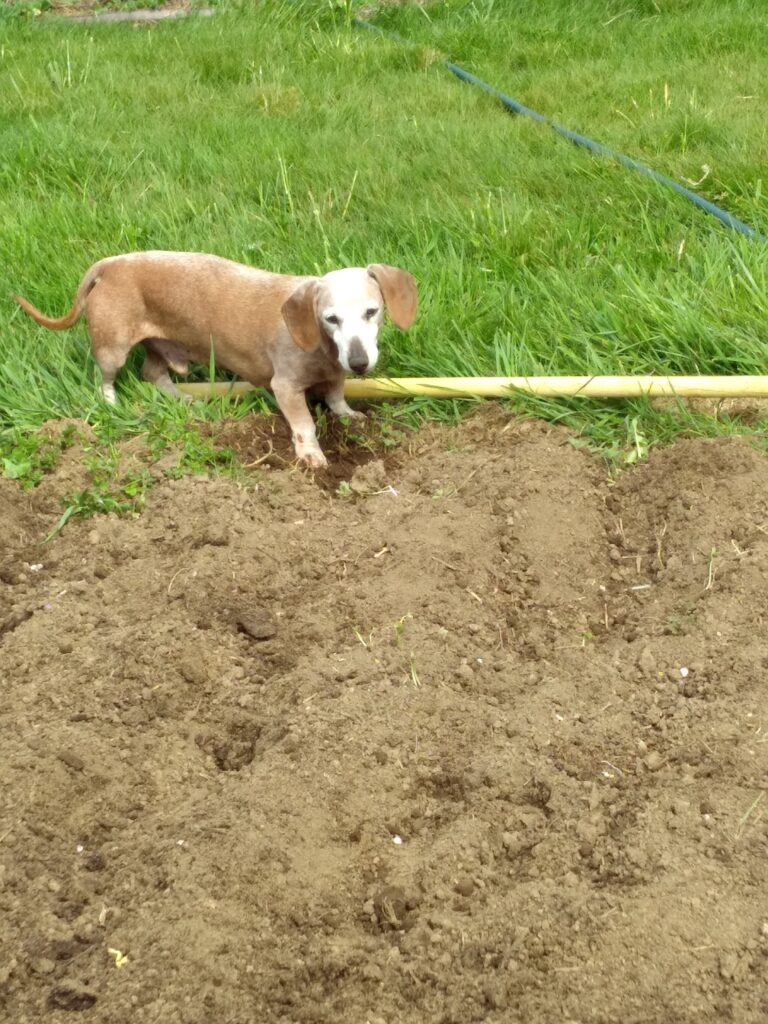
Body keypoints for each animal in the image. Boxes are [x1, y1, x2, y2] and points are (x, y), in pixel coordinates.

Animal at [12, 251, 417, 468]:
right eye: (331, 319)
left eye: (372, 312)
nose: (360, 363)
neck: (322, 347)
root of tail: (110, 265)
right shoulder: (285, 387)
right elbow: (304, 424)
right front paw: (311, 455)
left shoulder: (335, 373)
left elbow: (335, 394)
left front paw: (348, 415)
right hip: (113, 348)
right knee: (108, 381)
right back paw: (113, 405)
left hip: (158, 345)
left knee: (152, 373)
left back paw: (184, 400)